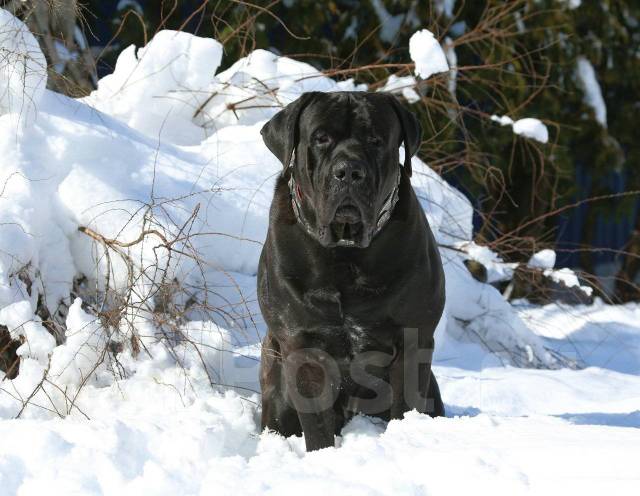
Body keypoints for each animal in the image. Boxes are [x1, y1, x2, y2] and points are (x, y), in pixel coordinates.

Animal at [258, 91, 444, 452]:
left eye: (375, 140)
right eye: (321, 138)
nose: (348, 171)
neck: (344, 253)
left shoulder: (413, 340)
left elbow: (406, 407)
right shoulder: (303, 345)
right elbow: (317, 426)